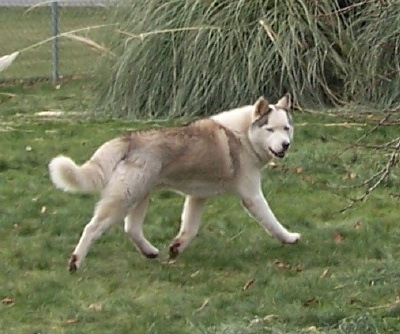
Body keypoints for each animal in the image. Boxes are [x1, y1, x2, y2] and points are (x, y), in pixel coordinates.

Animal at [48, 94, 300, 272]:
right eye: (270, 129)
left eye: (286, 128)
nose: (285, 145)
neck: (244, 136)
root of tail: (129, 138)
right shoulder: (252, 196)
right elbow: (272, 222)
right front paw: (289, 238)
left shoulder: (197, 197)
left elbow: (190, 228)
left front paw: (176, 247)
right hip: (124, 199)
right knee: (92, 228)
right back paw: (75, 262)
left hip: (139, 196)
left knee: (131, 228)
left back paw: (150, 252)